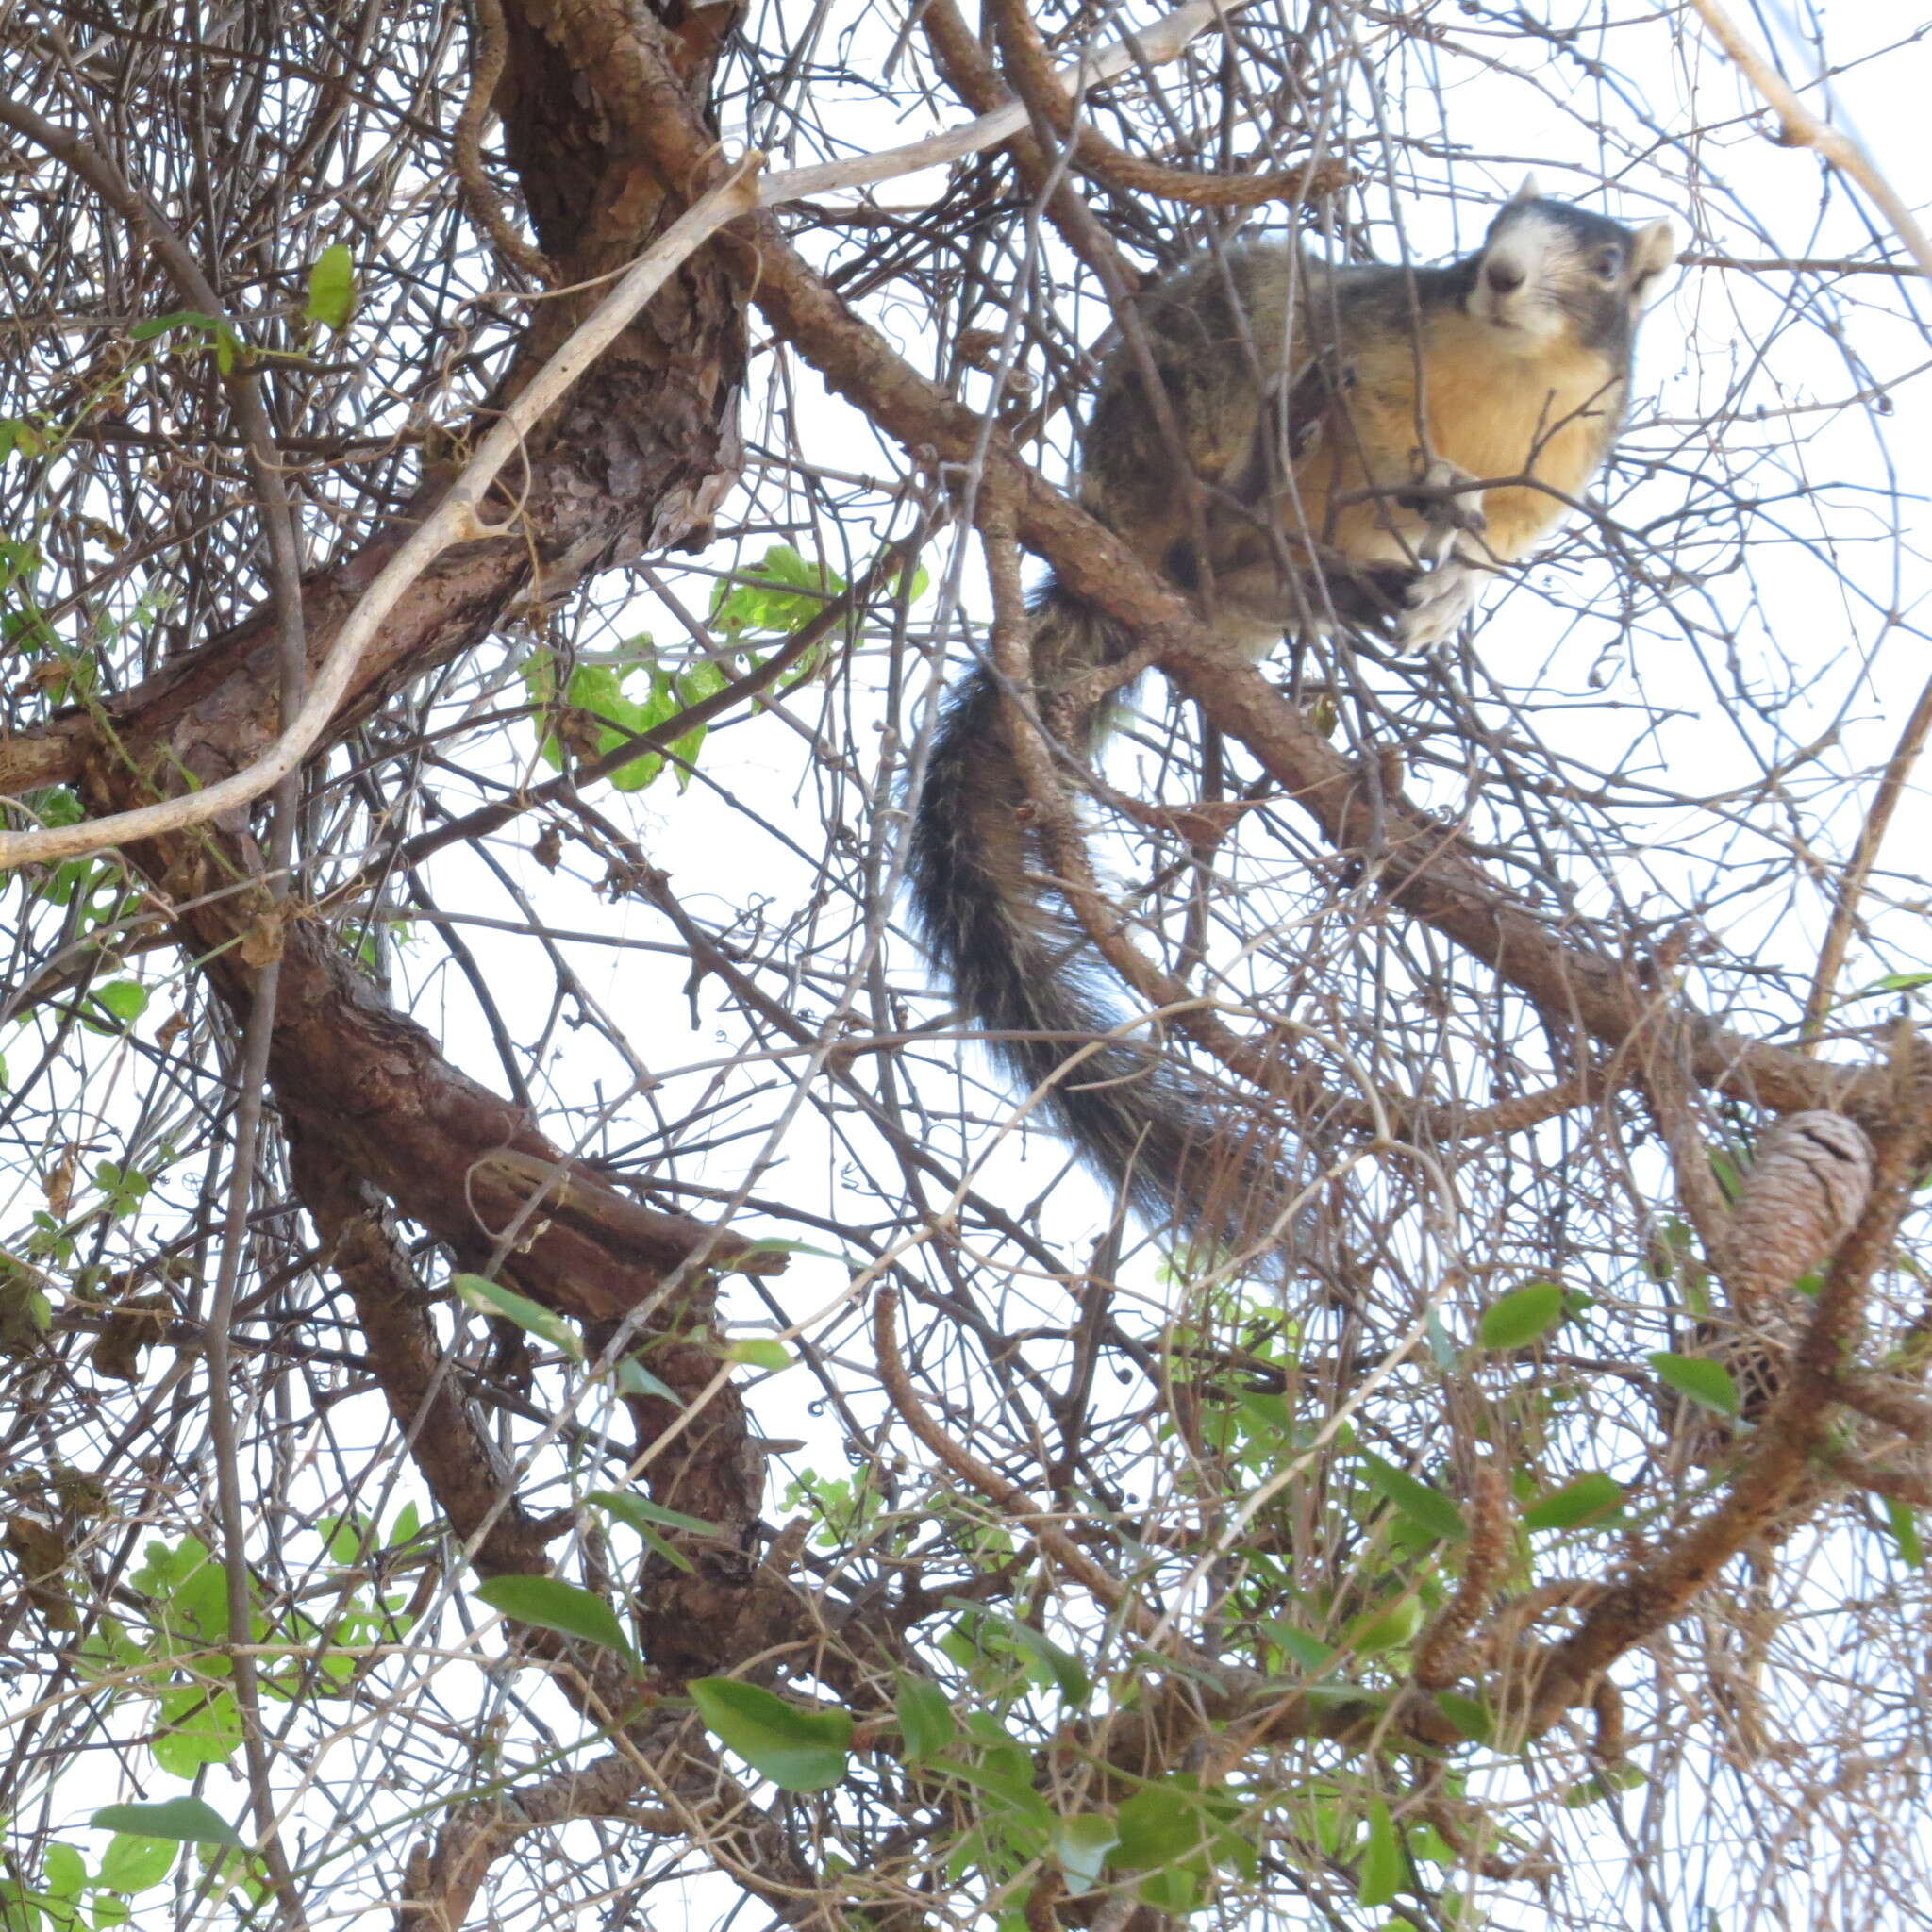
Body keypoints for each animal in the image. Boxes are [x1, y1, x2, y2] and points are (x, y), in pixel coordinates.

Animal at [904, 184, 1676, 1252]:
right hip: (1190, 386)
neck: (1509, 373)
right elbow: (1377, 418)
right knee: (1252, 383)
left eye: (1604, 265)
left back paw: (1344, 582)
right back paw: (1258, 455)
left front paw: (1451, 593)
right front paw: (1434, 477)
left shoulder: (1558, 465)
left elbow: (1497, 545)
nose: (1500, 274)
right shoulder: (1375, 333)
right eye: (1491, 230)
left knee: (1267, 570)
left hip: (1275, 566)